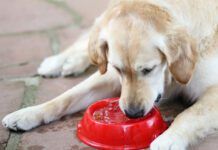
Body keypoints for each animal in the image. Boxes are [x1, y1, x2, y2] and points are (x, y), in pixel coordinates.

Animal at [1, 0, 218, 150]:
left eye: (148, 69)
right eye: (118, 68)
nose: (132, 114)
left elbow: (190, 114)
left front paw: (169, 138)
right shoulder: (110, 76)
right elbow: (65, 98)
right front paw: (27, 113)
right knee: (90, 41)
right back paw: (59, 61)